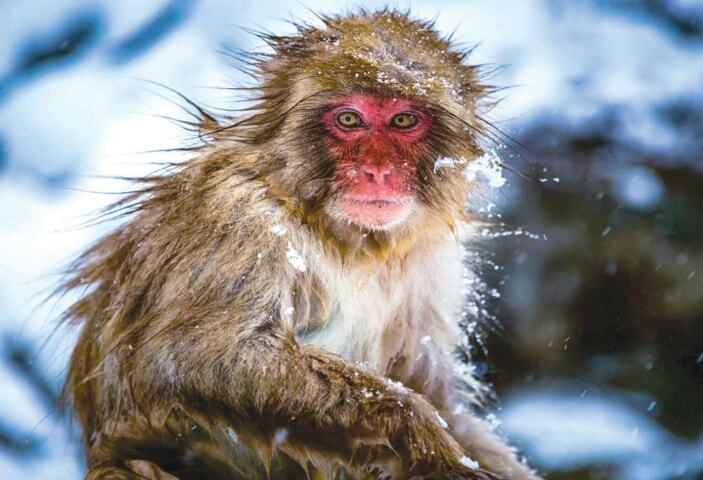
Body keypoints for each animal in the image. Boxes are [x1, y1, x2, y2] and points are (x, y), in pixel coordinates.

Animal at [60, 9, 541, 480]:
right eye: (349, 120)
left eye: (404, 120)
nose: (377, 171)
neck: (347, 238)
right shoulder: (240, 224)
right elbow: (193, 358)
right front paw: (422, 437)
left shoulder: (429, 260)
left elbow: (432, 388)